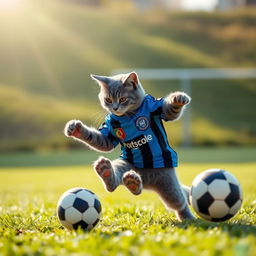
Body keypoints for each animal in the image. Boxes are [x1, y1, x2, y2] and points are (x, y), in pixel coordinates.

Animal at [65, 72, 195, 222]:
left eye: (122, 99)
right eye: (108, 99)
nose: (115, 108)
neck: (127, 116)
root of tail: (146, 179)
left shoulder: (154, 106)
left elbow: (170, 112)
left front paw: (178, 98)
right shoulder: (109, 130)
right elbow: (102, 141)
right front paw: (76, 130)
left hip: (167, 182)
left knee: (179, 201)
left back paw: (188, 217)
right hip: (126, 164)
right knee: (119, 177)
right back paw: (115, 175)